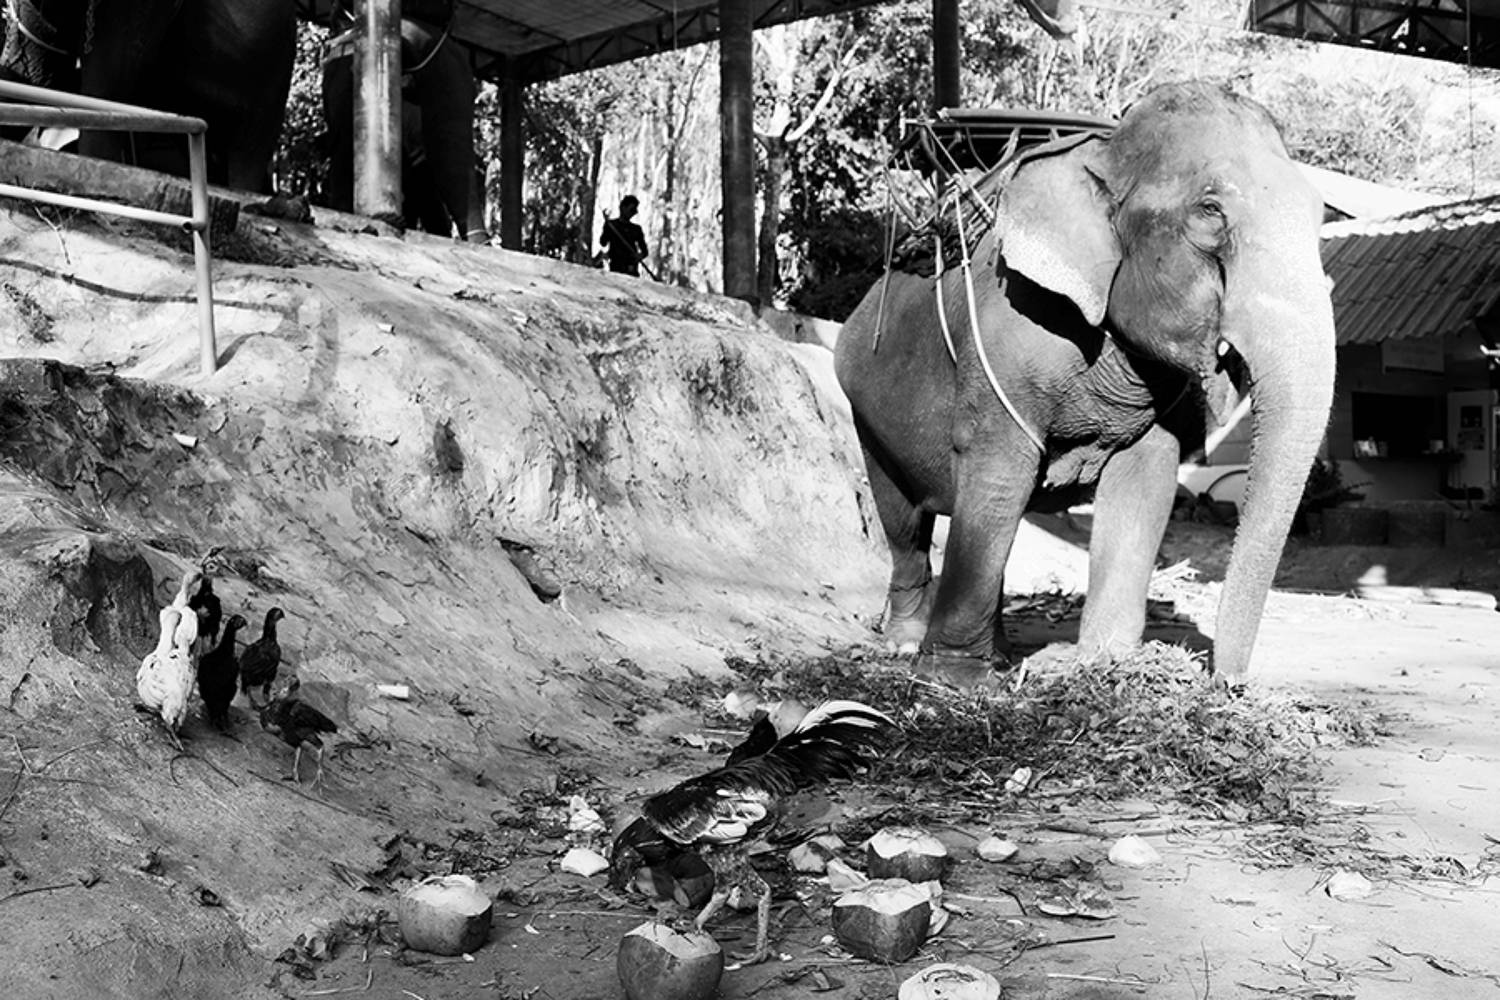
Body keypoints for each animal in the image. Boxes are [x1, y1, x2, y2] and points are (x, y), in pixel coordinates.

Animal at [834, 81, 1336, 684]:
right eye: (1210, 210)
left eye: (1319, 215)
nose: (1226, 683)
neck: (1103, 150)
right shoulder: (1008, 332)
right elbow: (998, 469)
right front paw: (956, 680)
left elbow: (1145, 483)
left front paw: (1107, 664)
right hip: (868, 410)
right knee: (906, 522)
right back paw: (906, 646)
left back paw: (997, 652)